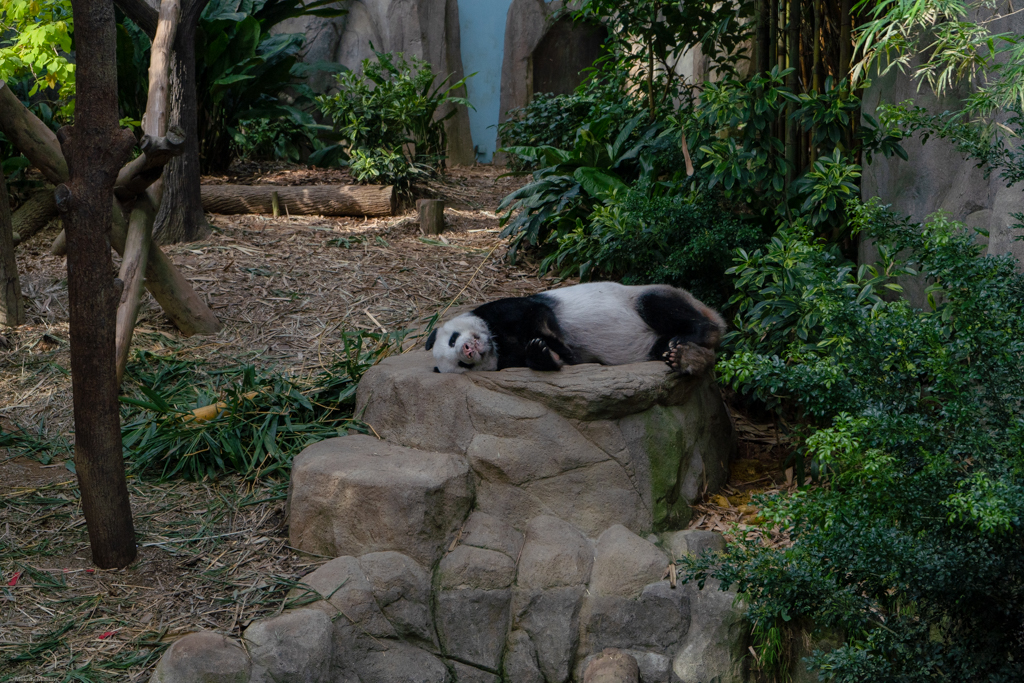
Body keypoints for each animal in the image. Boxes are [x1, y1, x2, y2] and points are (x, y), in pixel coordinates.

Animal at [425, 284, 729, 378]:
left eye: (452, 339)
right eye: (461, 364)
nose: (467, 349)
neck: (497, 341)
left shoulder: (503, 309)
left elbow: (538, 315)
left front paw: (560, 347)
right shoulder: (507, 359)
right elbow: (538, 358)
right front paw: (545, 354)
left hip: (645, 297)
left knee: (658, 306)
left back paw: (698, 334)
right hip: (650, 346)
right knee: (659, 345)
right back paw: (675, 352)